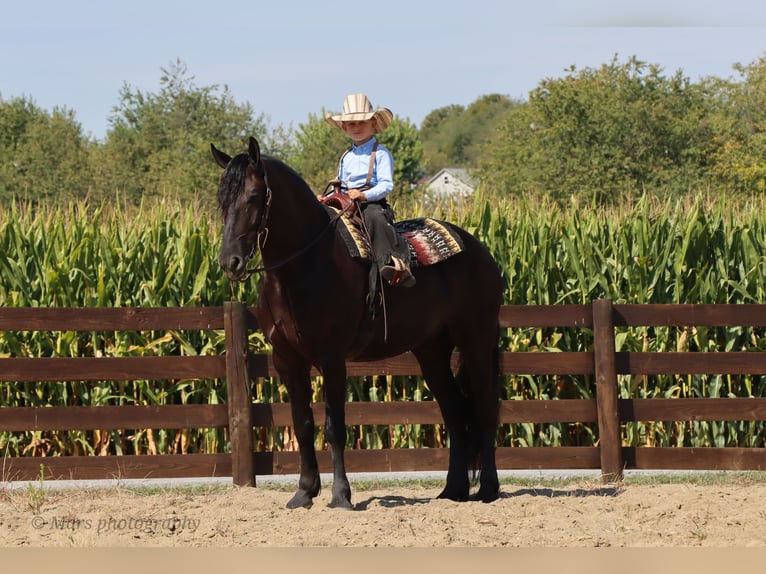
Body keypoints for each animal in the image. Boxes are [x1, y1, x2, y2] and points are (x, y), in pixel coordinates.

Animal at [211, 136, 504, 509]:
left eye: (252, 196)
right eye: (221, 199)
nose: (229, 261)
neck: (306, 264)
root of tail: (480, 251)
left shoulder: (332, 358)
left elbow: (334, 427)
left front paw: (340, 496)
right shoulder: (287, 360)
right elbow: (302, 424)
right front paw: (303, 493)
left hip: (477, 339)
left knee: (484, 409)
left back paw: (489, 489)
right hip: (431, 351)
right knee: (455, 413)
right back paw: (453, 491)